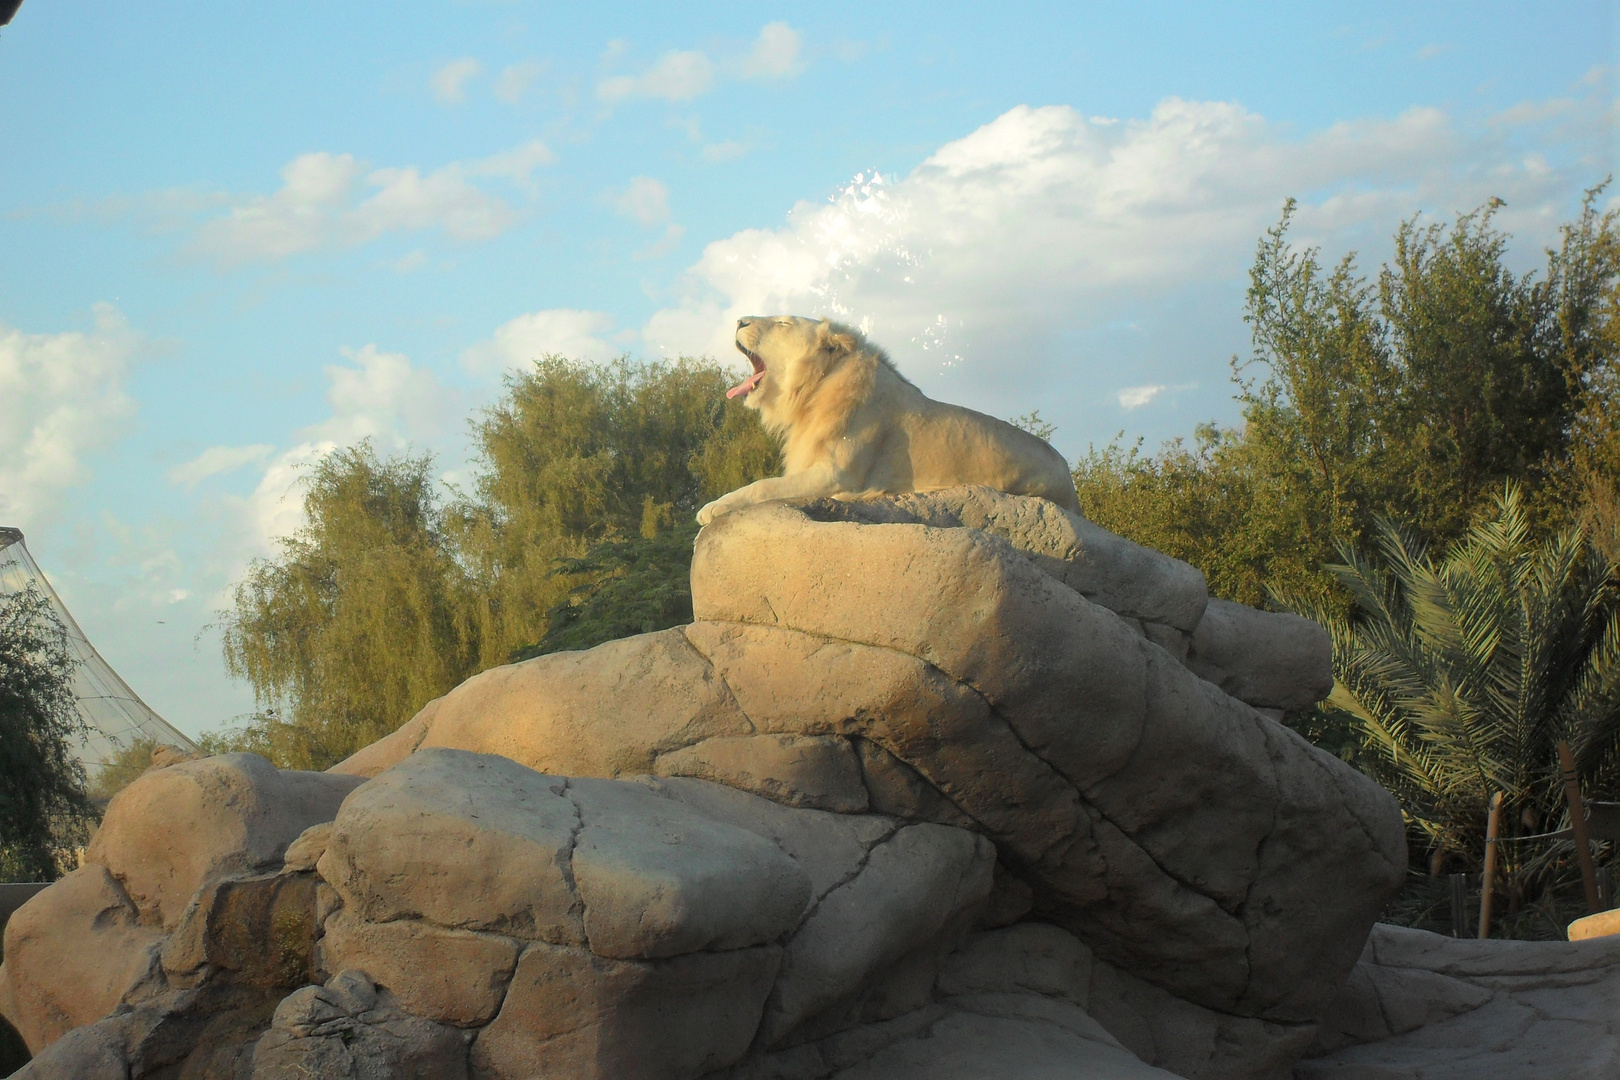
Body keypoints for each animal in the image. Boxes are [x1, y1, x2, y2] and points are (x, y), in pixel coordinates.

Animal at [693, 314, 1075, 524]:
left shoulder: (837, 474)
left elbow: (763, 485)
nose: (739, 320)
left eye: (783, 323)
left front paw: (712, 507)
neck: (812, 393)